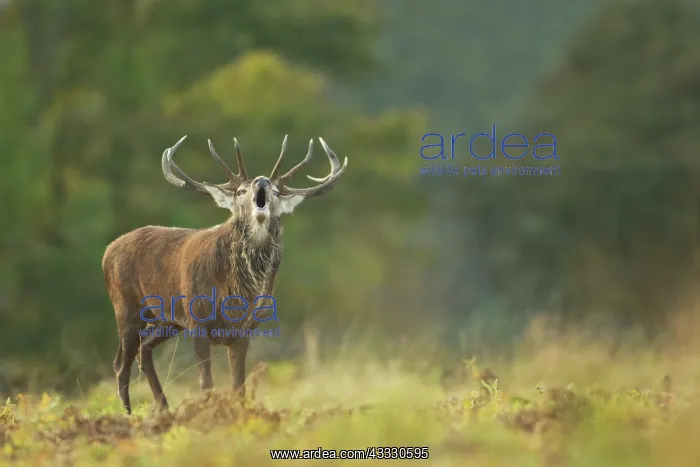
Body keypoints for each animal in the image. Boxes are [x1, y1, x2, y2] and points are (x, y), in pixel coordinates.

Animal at [102, 135, 347, 414]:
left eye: (276, 191)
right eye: (240, 191)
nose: (261, 181)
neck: (236, 293)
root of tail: (108, 250)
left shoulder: (244, 331)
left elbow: (239, 386)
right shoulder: (197, 321)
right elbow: (206, 384)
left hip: (167, 320)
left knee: (143, 350)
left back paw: (164, 408)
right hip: (126, 306)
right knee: (121, 364)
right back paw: (130, 415)